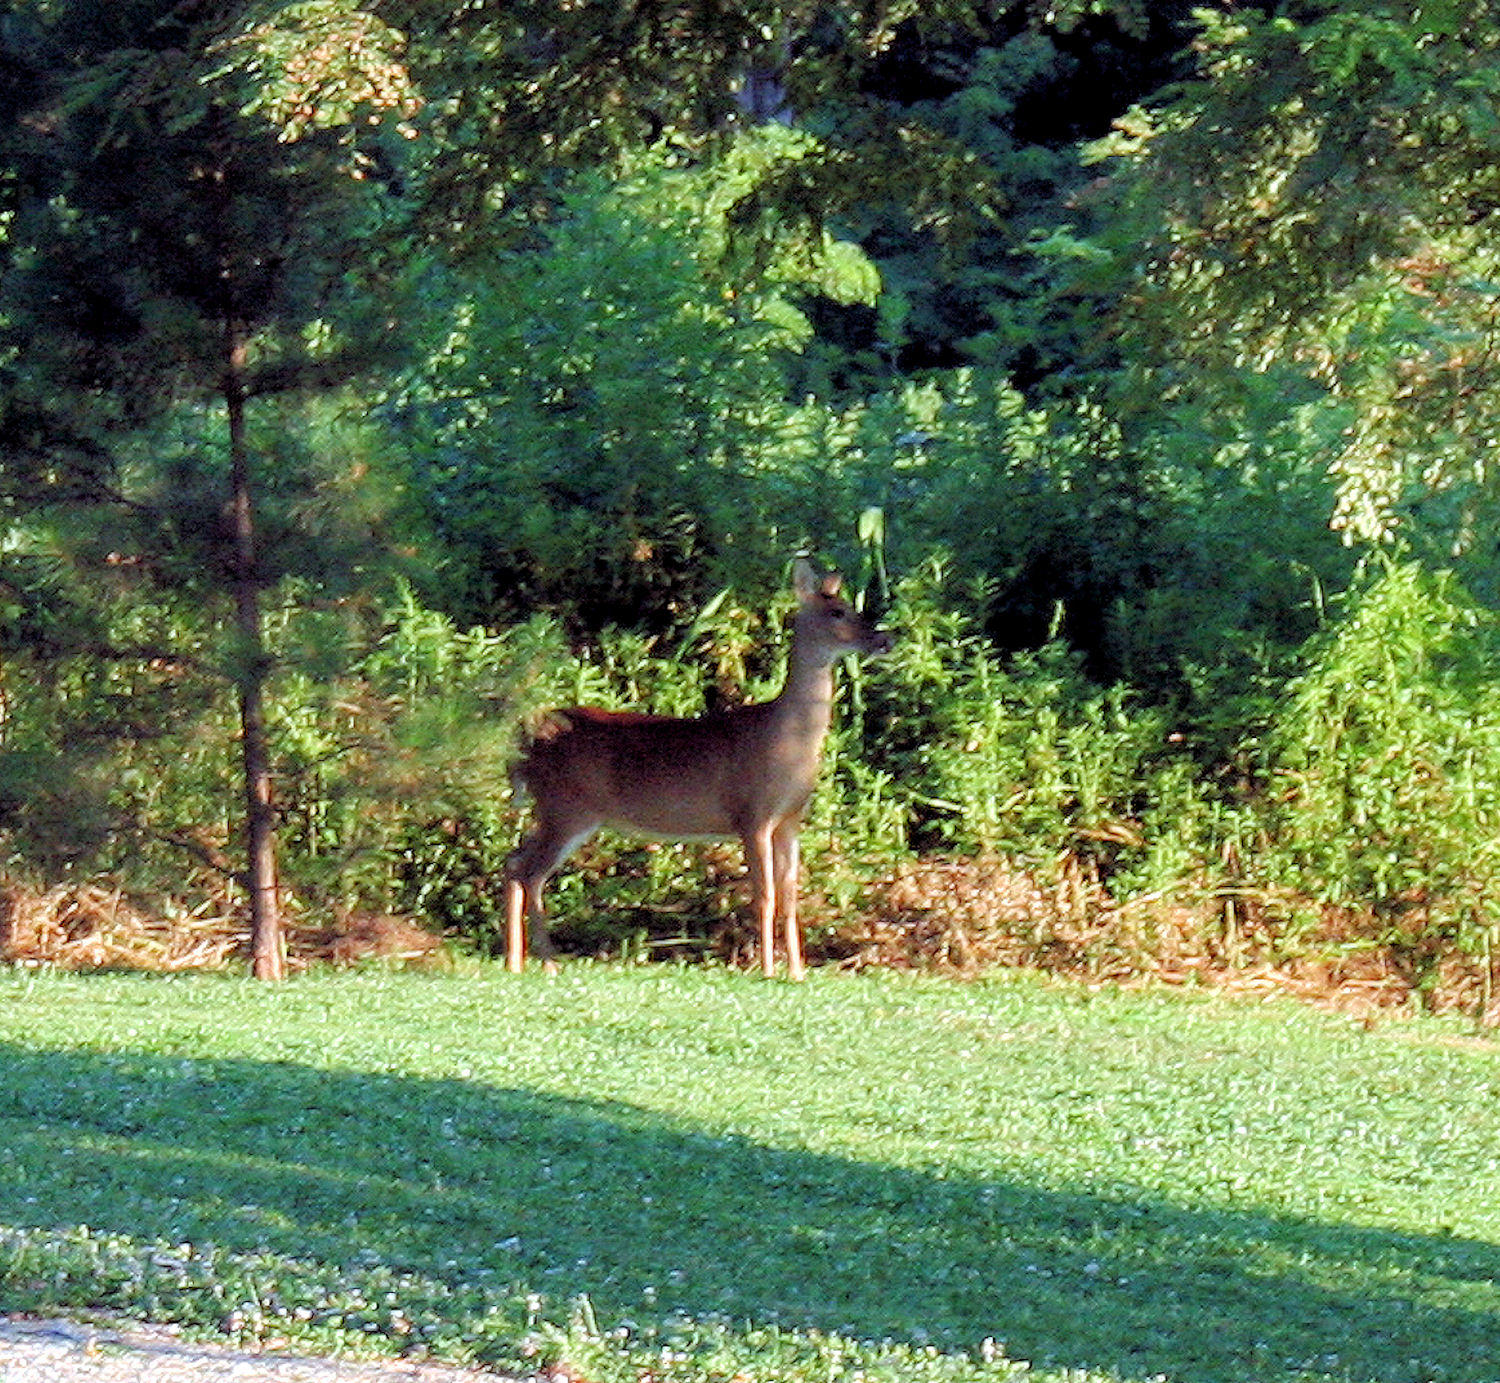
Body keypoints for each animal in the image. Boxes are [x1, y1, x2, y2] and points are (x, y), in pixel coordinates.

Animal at [504, 555, 888, 978]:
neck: (787, 740)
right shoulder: (751, 814)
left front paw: (797, 973)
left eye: (852, 606)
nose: (883, 640)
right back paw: (547, 961)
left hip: (556, 811)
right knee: (530, 871)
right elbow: (765, 895)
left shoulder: (790, 819)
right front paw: (769, 971)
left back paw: (514, 962)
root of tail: (524, 744)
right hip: (567, 807)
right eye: (837, 612)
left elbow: (790, 896)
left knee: (513, 861)